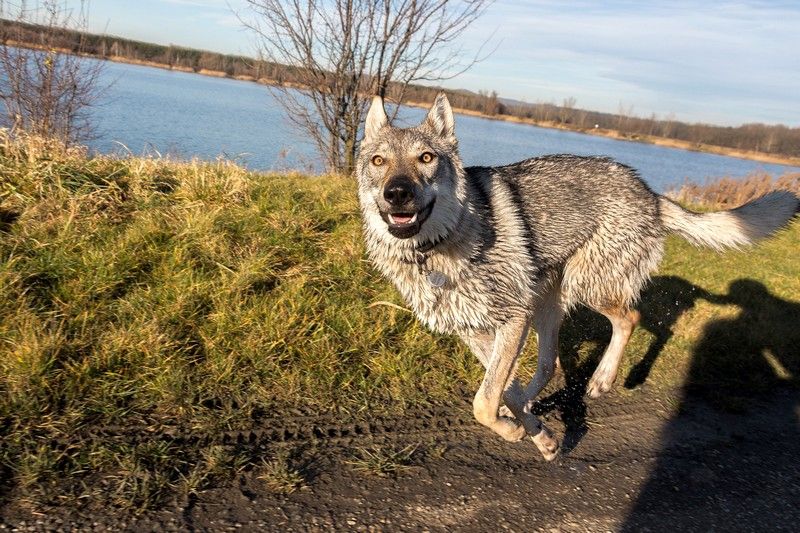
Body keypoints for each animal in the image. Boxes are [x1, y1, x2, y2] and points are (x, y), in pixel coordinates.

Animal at [358, 91, 800, 458]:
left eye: (426, 158)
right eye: (379, 162)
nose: (396, 193)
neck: (435, 251)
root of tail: (650, 193)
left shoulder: (512, 320)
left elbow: (484, 402)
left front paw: (515, 430)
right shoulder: (477, 331)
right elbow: (503, 390)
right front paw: (539, 436)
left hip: (586, 288)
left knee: (630, 318)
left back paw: (603, 380)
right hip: (547, 305)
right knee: (549, 365)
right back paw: (539, 405)